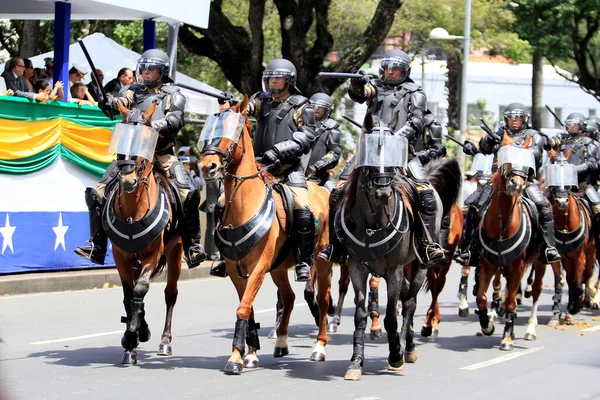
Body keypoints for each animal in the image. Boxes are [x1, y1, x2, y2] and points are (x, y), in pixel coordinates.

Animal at [105, 101, 184, 364]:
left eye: (147, 140)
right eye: (121, 140)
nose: (128, 180)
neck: (133, 210)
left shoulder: (153, 253)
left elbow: (140, 289)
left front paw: (135, 334)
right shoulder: (121, 255)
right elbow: (129, 295)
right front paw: (131, 339)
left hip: (176, 250)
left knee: (171, 294)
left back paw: (164, 342)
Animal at [200, 95, 332, 374]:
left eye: (235, 130)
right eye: (209, 129)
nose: (208, 167)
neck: (243, 205)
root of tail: (323, 192)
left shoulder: (259, 266)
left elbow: (243, 308)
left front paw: (235, 359)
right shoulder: (236, 268)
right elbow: (247, 309)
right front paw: (247, 354)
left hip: (322, 262)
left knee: (323, 300)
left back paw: (319, 348)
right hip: (279, 267)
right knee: (290, 298)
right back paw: (281, 342)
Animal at [338, 128, 460, 382]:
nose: (383, 191)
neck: (373, 223)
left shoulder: (393, 271)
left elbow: (392, 317)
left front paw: (395, 354)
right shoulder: (357, 269)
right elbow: (361, 315)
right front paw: (356, 362)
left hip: (420, 265)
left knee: (410, 303)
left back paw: (406, 348)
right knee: (406, 299)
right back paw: (409, 345)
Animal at [476, 134, 548, 350]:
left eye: (527, 162)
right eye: (506, 158)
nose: (517, 184)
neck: (502, 226)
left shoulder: (517, 266)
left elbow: (510, 302)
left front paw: (506, 338)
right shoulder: (488, 264)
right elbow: (481, 298)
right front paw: (486, 325)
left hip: (540, 262)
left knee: (535, 291)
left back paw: (529, 329)